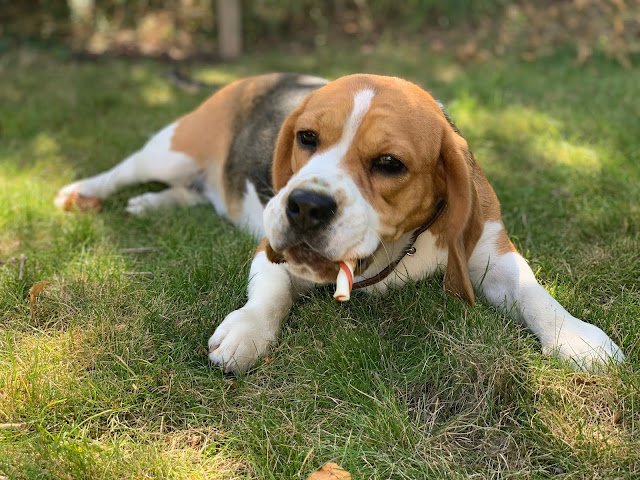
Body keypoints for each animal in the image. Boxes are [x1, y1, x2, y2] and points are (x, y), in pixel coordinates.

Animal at [56, 73, 624, 374]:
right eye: (306, 138)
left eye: (389, 164)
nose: (305, 206)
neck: (396, 248)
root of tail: (255, 77)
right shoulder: (272, 250)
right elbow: (270, 293)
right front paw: (246, 331)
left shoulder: (491, 253)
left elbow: (534, 292)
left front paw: (577, 338)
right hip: (168, 150)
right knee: (123, 171)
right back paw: (81, 192)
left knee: (191, 192)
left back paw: (153, 206)